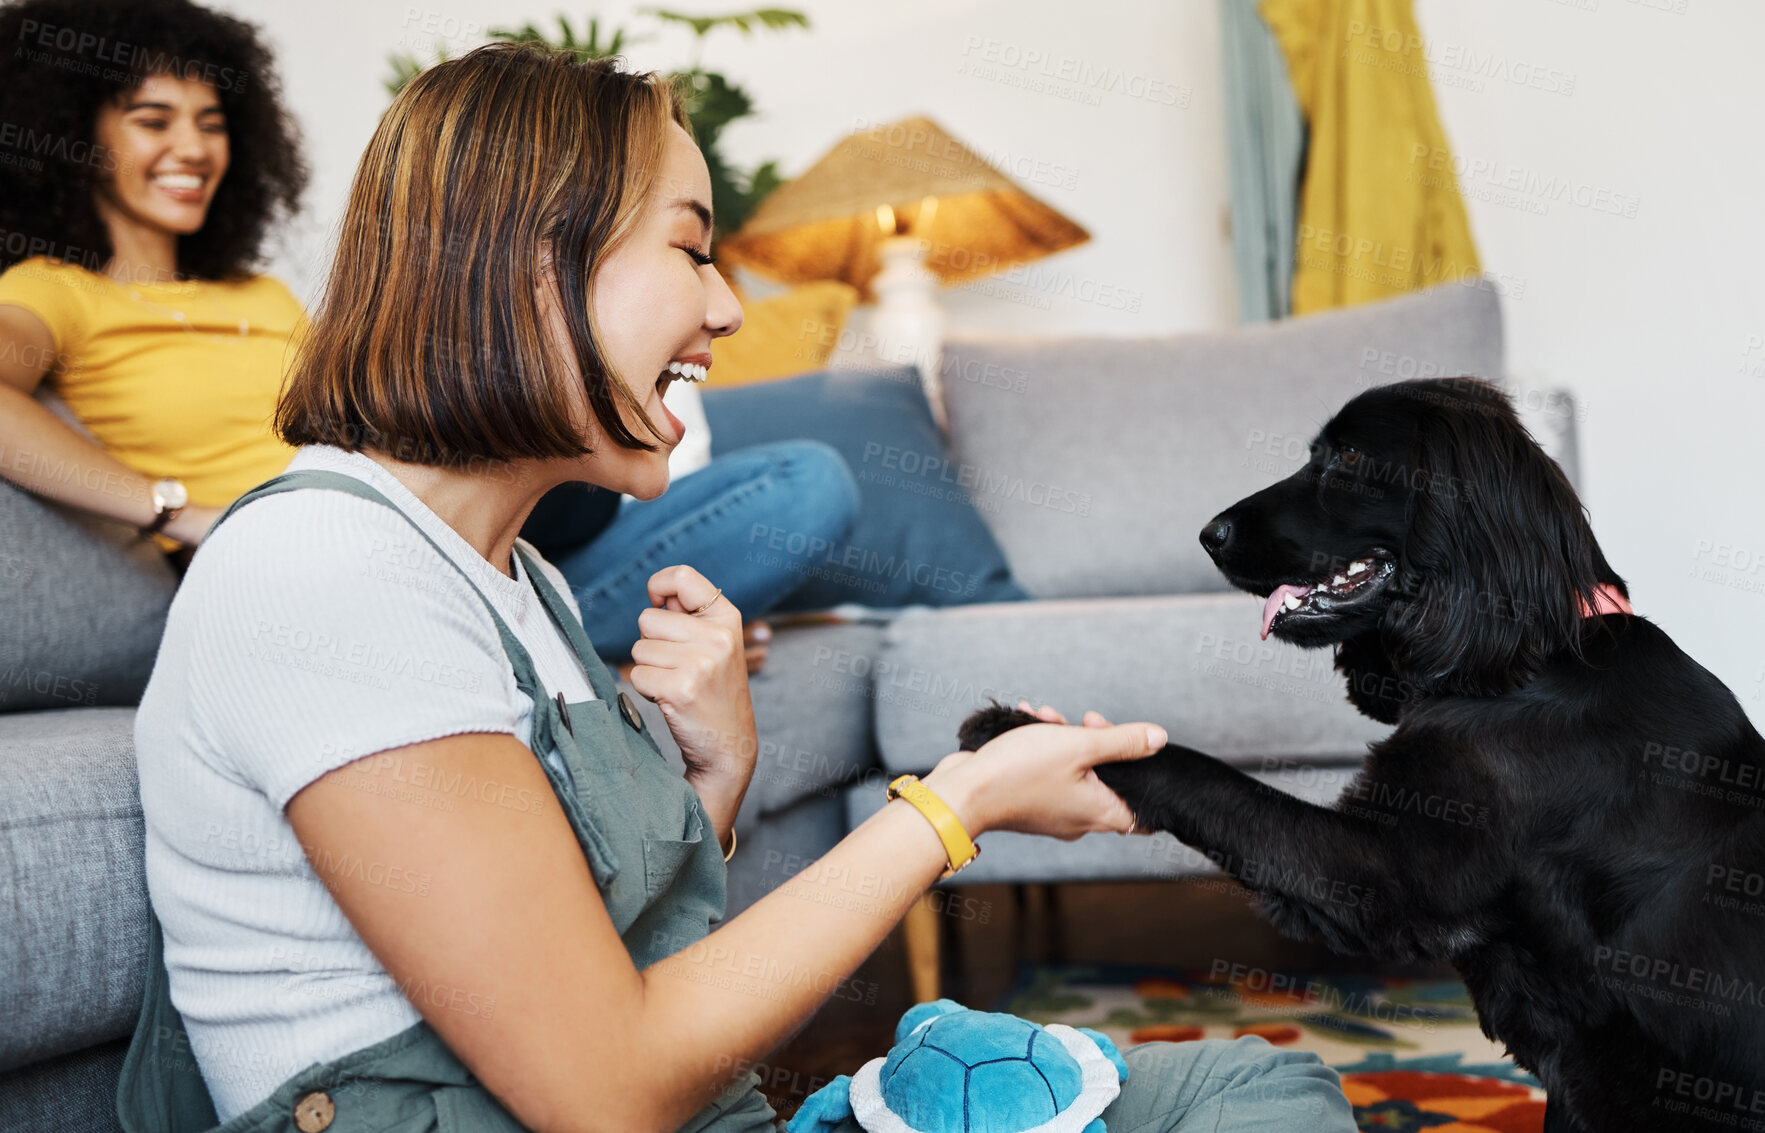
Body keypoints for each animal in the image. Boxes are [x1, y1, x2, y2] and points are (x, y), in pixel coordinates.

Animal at [967, 374, 1765, 1122]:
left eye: (1349, 458)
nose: (1207, 533)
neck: (1532, 656)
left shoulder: (1379, 875)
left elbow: (1207, 777)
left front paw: (1020, 731)